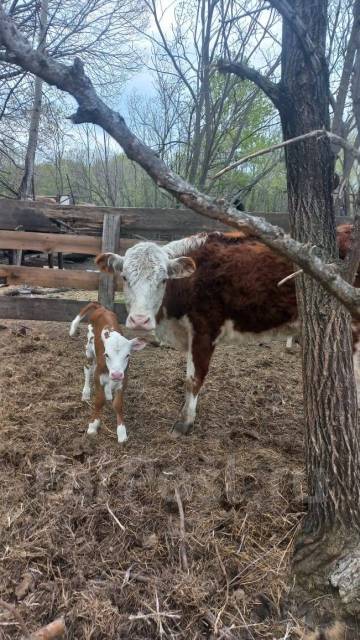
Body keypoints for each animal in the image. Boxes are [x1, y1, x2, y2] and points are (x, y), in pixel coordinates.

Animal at [69, 302, 145, 442]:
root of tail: (101, 308)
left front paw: (121, 432)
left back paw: (109, 393)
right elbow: (99, 401)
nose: (116, 374)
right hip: (89, 350)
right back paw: (86, 392)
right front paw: (93, 425)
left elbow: (118, 404)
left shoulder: (124, 378)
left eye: (128, 355)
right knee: (87, 369)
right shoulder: (98, 376)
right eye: (106, 355)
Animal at [95, 222, 360, 438]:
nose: (140, 320)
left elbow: (193, 379)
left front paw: (185, 423)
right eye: (125, 277)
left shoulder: (204, 331)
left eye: (163, 280)